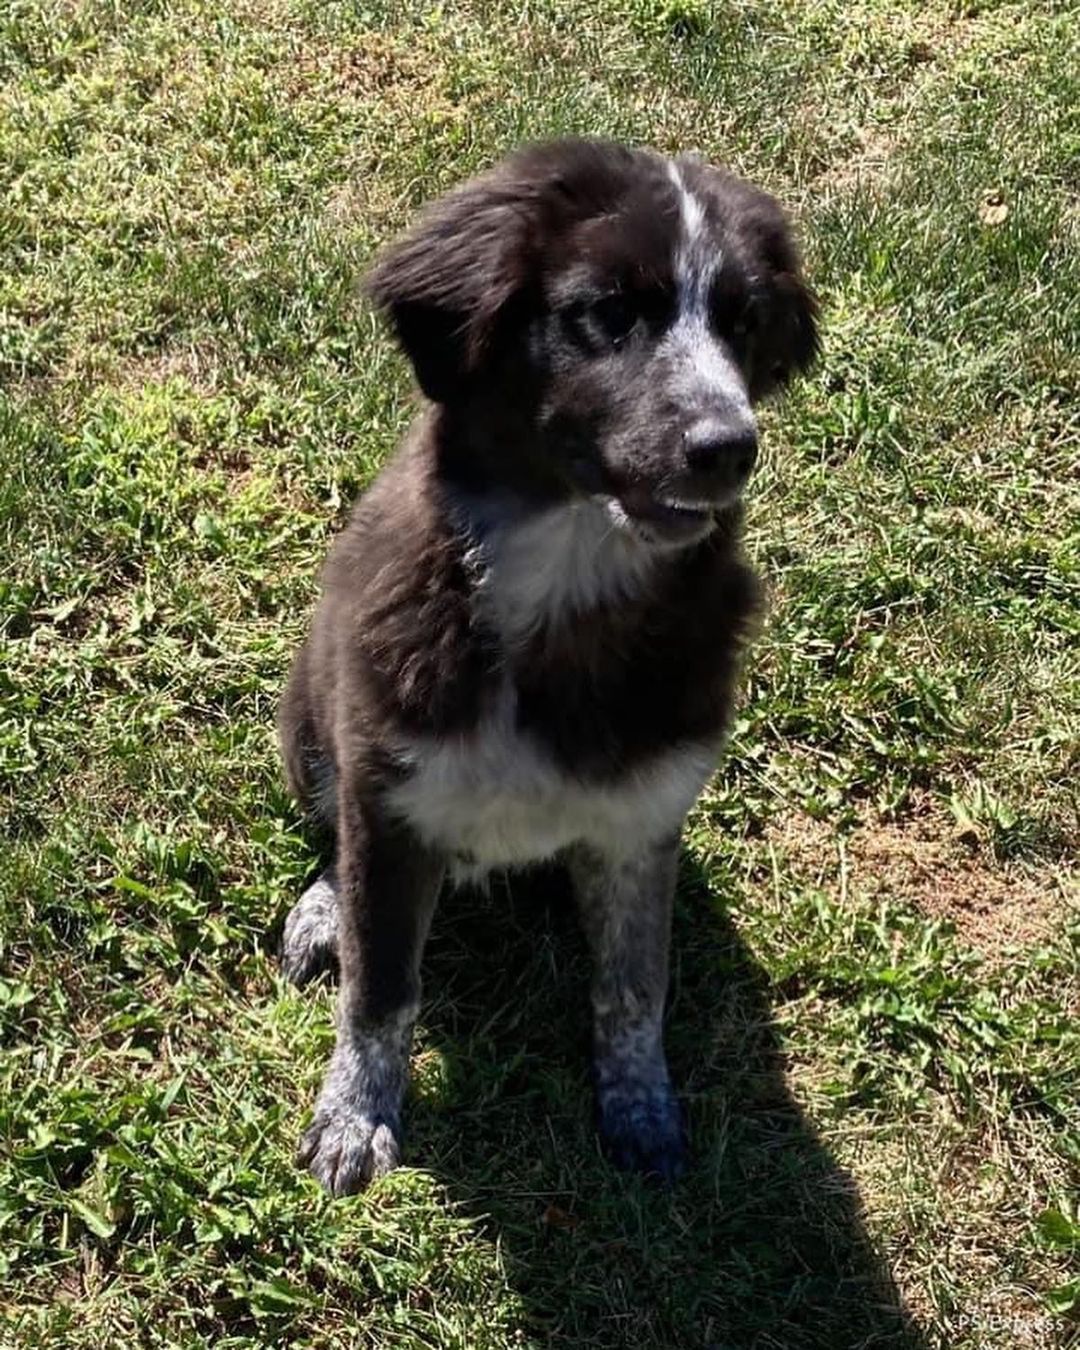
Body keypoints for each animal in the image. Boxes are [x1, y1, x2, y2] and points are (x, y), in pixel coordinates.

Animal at [274, 134, 815, 1193]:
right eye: (607, 313)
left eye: (743, 324)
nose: (729, 447)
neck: (566, 576)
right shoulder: (390, 789)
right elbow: (380, 984)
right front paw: (354, 1118)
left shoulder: (641, 823)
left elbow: (634, 988)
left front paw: (641, 1109)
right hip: (311, 719)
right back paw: (320, 909)